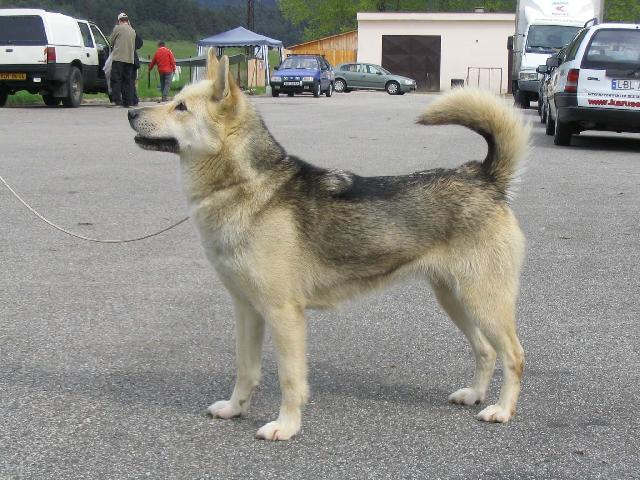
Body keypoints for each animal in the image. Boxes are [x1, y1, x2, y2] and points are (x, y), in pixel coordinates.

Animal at [127, 50, 528, 440]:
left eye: (180, 107)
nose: (131, 112)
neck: (245, 185)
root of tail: (484, 176)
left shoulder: (284, 314)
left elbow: (290, 379)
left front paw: (286, 426)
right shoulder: (247, 310)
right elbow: (246, 369)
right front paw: (234, 408)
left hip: (483, 302)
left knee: (513, 355)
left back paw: (502, 410)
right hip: (454, 299)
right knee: (486, 351)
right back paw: (474, 395)